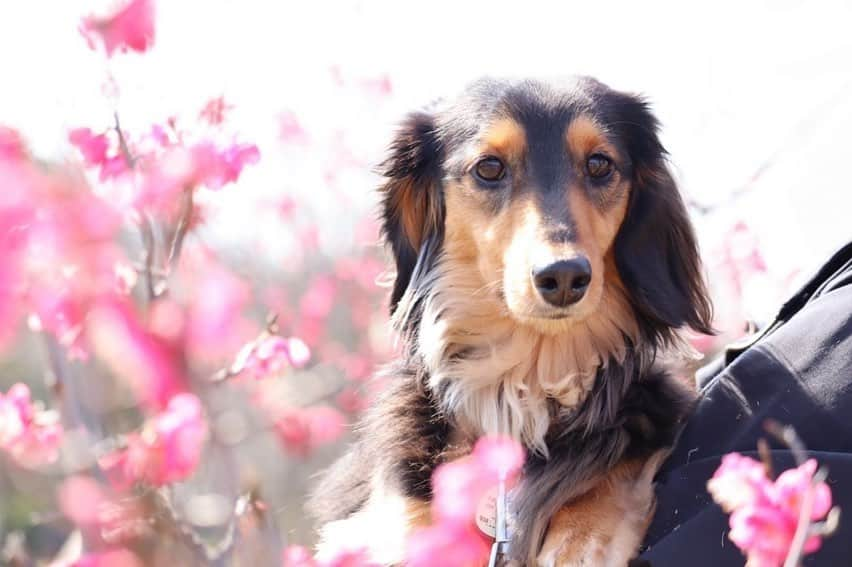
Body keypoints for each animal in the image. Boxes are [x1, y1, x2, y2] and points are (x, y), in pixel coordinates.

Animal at [310, 76, 708, 567]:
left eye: (600, 164)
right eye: (489, 168)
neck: (526, 378)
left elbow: (607, 478)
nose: (564, 277)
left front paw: (576, 540)